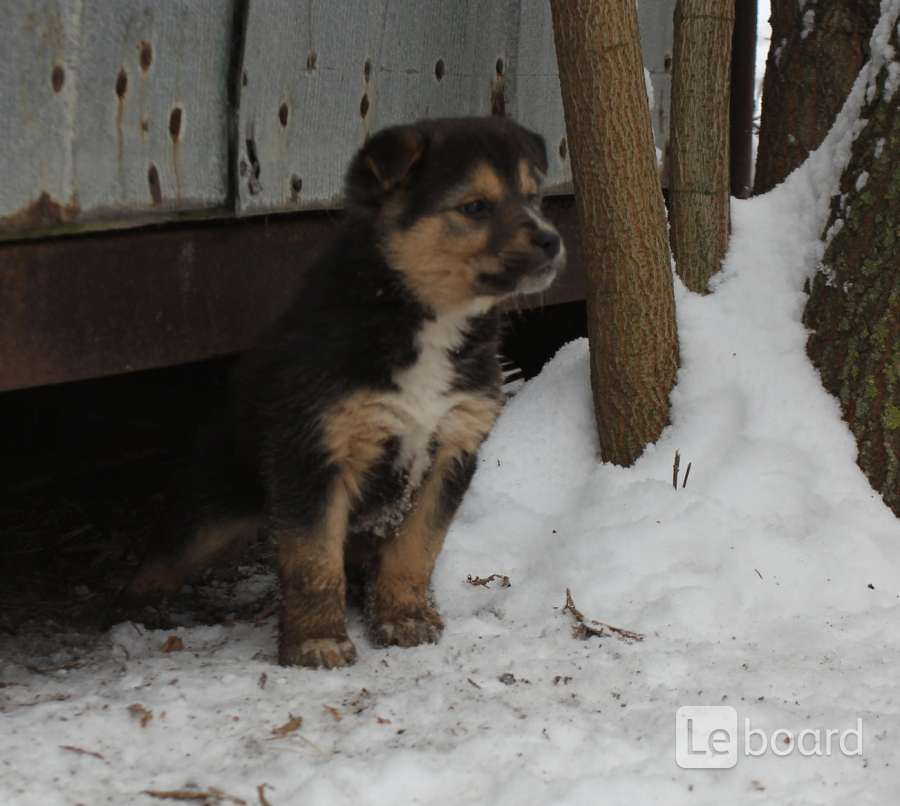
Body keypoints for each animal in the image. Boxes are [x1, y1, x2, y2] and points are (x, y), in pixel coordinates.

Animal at [125, 115, 564, 668]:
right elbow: (314, 559)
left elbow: (417, 547)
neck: (426, 321)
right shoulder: (315, 450)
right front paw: (317, 641)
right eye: (475, 207)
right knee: (164, 552)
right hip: (216, 505)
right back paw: (139, 611)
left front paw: (405, 618)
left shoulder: (453, 447)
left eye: (534, 197)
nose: (552, 241)